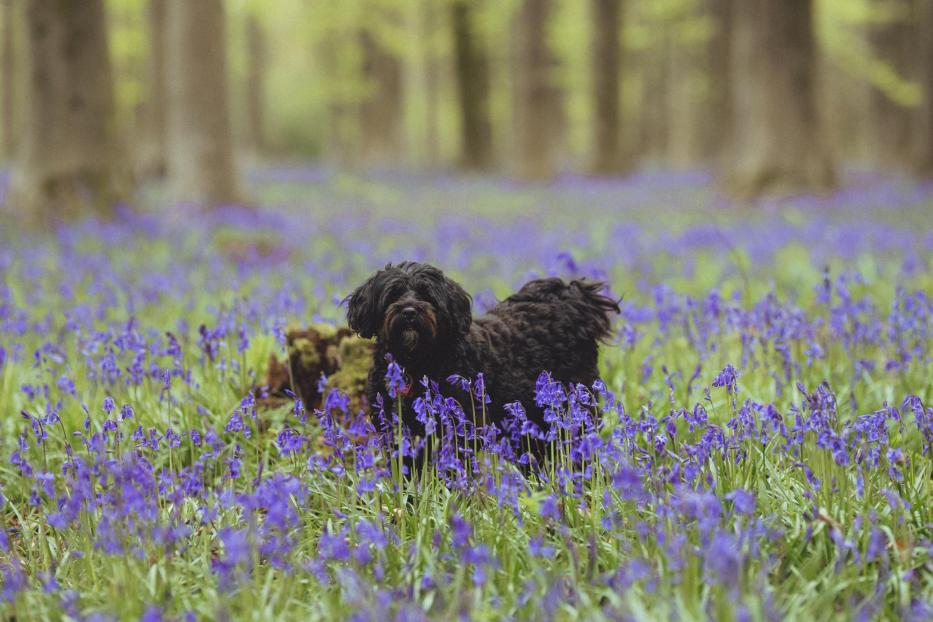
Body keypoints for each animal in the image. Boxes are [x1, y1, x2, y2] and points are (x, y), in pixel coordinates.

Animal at [344, 264, 620, 464]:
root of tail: (571, 304)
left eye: (427, 295)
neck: (415, 363)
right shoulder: (397, 434)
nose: (410, 311)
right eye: (393, 294)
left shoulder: (457, 431)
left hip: (573, 415)